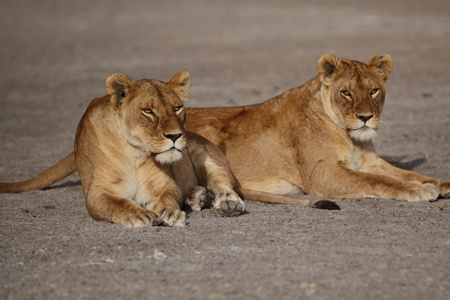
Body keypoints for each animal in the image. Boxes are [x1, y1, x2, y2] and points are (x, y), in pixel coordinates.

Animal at [0, 69, 246, 226]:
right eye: (148, 111)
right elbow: (117, 204)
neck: (134, 153)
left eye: (177, 108)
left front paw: (170, 213)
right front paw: (139, 215)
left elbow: (168, 196)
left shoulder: (164, 184)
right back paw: (196, 197)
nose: (175, 136)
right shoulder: (97, 193)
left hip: (205, 153)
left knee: (222, 182)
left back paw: (227, 204)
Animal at [184, 55, 450, 203]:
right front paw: (417, 190)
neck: (352, 138)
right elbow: (377, 180)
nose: (365, 117)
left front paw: (439, 185)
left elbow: (408, 173)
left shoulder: (370, 161)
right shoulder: (323, 174)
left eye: (374, 90)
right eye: (347, 93)